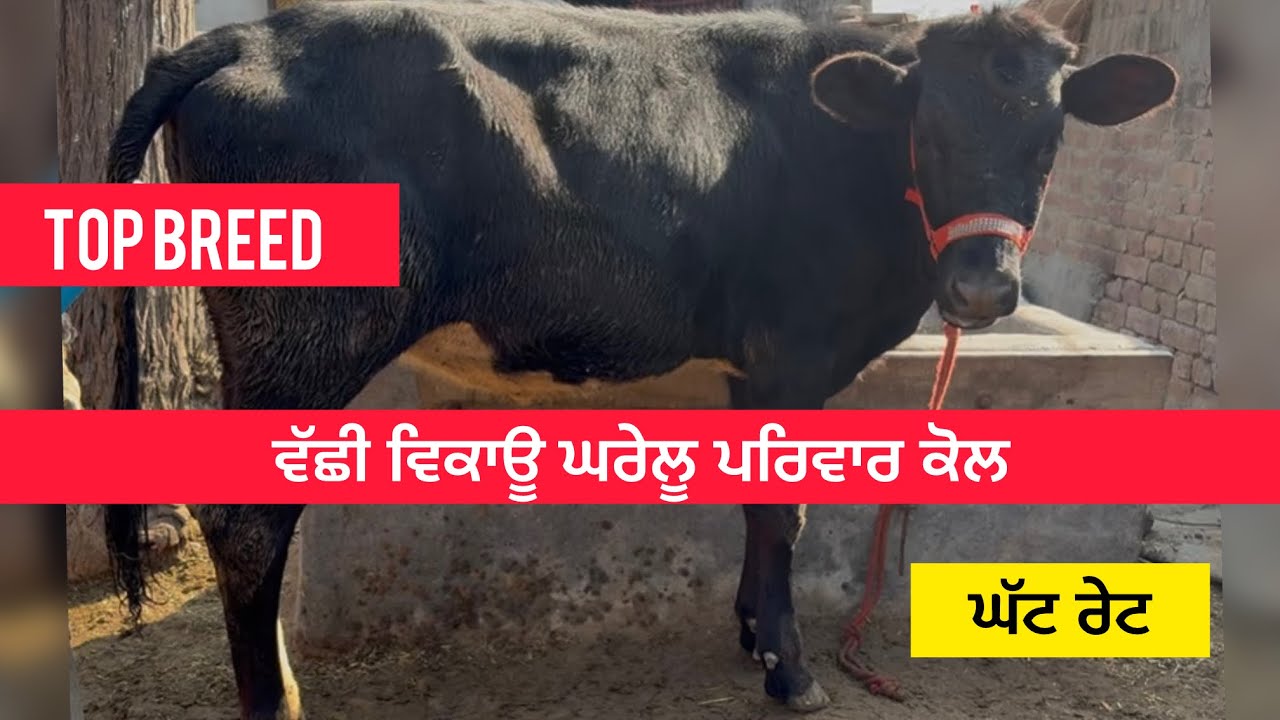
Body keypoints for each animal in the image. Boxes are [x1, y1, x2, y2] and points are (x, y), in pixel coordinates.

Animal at [99, 2, 1176, 718]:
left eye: (1049, 139)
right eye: (930, 131)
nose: (983, 291)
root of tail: (249, 33)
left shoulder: (748, 372)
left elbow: (752, 502)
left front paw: (753, 636)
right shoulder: (792, 355)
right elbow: (784, 510)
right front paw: (793, 671)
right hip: (308, 338)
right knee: (248, 525)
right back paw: (275, 703)